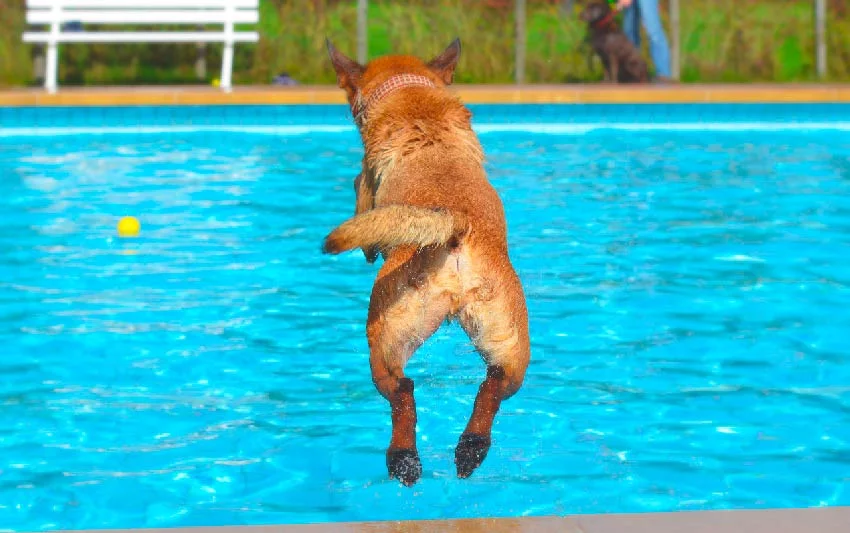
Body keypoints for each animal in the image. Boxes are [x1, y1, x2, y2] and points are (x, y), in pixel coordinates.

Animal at [322, 38, 528, 486]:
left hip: (384, 336)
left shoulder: (364, 186)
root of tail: (454, 226)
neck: (413, 95)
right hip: (508, 342)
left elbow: (361, 195)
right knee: (493, 384)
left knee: (403, 392)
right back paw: (470, 449)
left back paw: (403, 460)